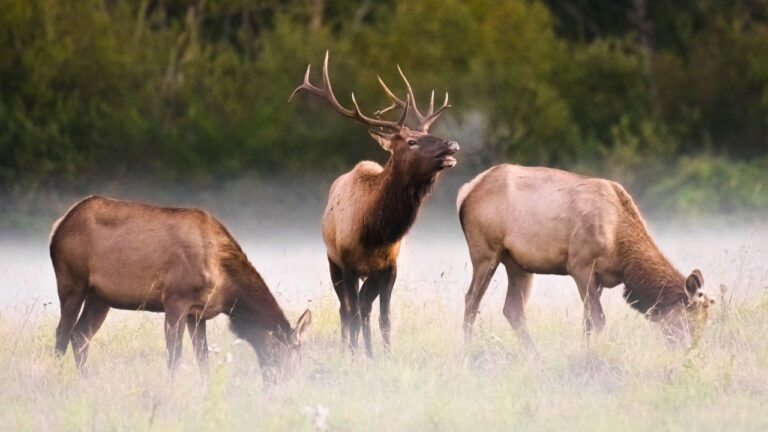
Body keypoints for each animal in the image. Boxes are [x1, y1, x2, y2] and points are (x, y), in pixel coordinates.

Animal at [49, 195, 311, 384]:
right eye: (292, 355)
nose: (289, 384)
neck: (226, 287)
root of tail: (58, 226)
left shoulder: (198, 314)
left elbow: (203, 358)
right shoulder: (175, 299)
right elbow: (174, 357)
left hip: (100, 297)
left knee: (80, 335)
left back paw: (87, 382)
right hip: (72, 282)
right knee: (62, 333)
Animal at [290, 52, 459, 356]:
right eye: (412, 141)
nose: (451, 145)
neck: (374, 233)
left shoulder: (390, 267)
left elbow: (384, 318)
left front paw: (385, 355)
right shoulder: (347, 264)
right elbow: (352, 313)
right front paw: (352, 355)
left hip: (371, 276)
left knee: (365, 308)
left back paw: (368, 351)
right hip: (333, 262)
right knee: (347, 310)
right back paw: (351, 348)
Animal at [457, 164, 714, 351]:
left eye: (705, 323)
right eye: (691, 322)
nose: (692, 350)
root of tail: (466, 191)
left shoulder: (599, 279)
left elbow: (587, 322)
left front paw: (586, 353)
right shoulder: (580, 265)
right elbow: (598, 319)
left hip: (518, 263)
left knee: (513, 309)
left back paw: (535, 356)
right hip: (485, 252)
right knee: (471, 300)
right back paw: (468, 352)